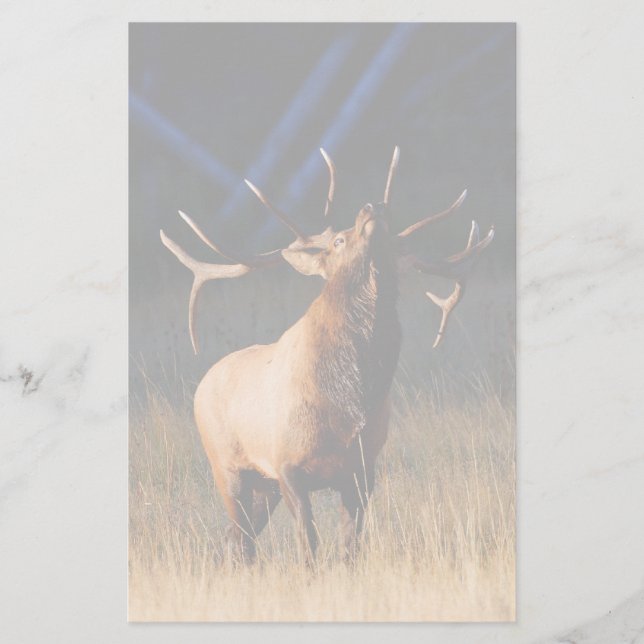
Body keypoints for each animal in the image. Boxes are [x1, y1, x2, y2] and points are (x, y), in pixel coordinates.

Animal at [160, 147, 494, 564]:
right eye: (337, 240)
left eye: (394, 244)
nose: (372, 207)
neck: (346, 403)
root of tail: (202, 383)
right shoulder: (287, 465)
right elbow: (309, 544)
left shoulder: (362, 470)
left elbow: (350, 548)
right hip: (227, 466)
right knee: (240, 537)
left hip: (263, 485)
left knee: (237, 538)